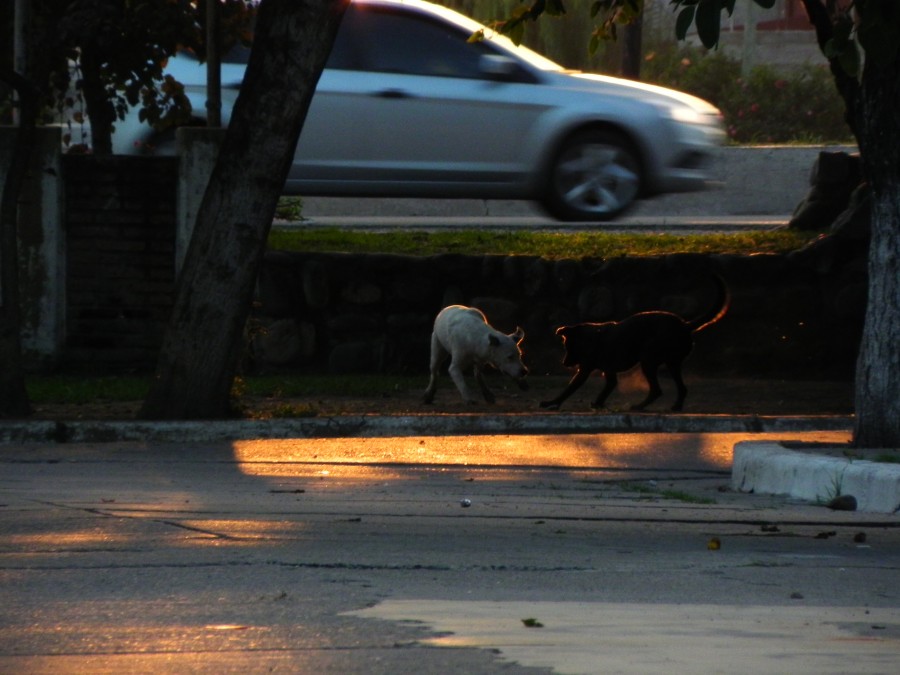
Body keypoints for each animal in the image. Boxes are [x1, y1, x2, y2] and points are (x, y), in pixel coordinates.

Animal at [536, 276, 728, 412]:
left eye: (569, 347)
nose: (564, 363)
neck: (590, 338)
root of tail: (685, 325)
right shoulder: (608, 372)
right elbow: (607, 388)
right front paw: (598, 403)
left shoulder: (585, 370)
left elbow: (569, 389)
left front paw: (552, 403)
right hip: (672, 363)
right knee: (681, 388)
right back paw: (676, 407)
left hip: (648, 360)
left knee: (657, 390)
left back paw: (639, 406)